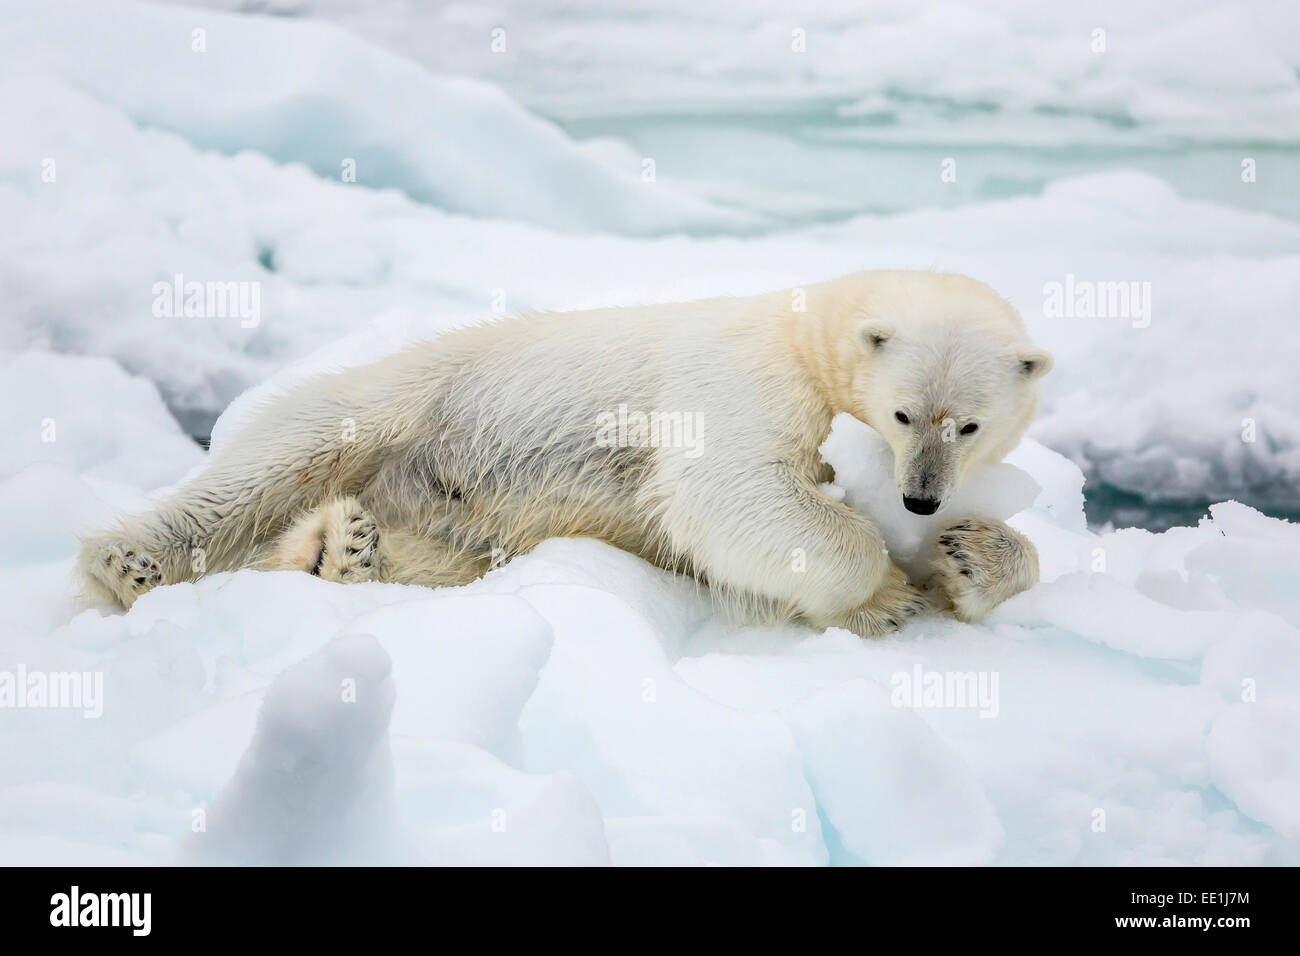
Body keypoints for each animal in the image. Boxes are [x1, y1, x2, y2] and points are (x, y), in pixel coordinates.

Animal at [76, 270, 1050, 634]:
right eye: (904, 413)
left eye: (969, 426)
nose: (921, 499)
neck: (805, 330)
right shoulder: (744, 378)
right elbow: (728, 492)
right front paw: (882, 592)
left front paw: (970, 555)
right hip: (398, 402)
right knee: (270, 463)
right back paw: (130, 562)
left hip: (455, 524)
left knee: (435, 554)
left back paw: (342, 552)